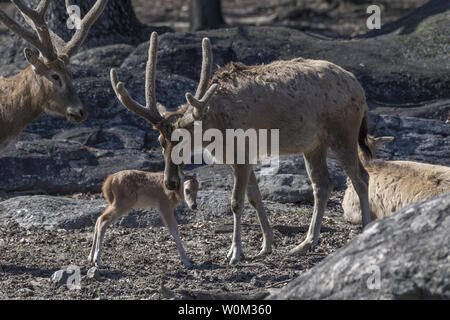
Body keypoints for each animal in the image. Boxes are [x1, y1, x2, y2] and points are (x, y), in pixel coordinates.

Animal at [110, 33, 372, 266]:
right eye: (160, 141)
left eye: (182, 140)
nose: (170, 182)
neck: (215, 125)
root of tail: (359, 89)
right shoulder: (244, 156)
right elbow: (254, 196)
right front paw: (266, 245)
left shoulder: (243, 152)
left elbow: (236, 201)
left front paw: (235, 253)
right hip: (313, 144)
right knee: (323, 185)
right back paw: (305, 243)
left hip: (343, 131)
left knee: (361, 177)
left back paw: (365, 229)